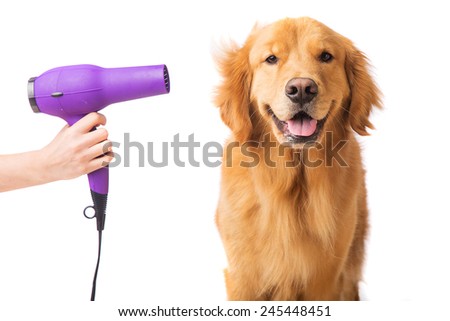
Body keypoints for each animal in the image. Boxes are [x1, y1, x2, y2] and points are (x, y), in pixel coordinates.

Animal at [214, 16, 380, 298]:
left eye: (326, 56)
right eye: (271, 59)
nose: (302, 88)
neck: (294, 184)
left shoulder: (326, 280)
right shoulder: (242, 278)